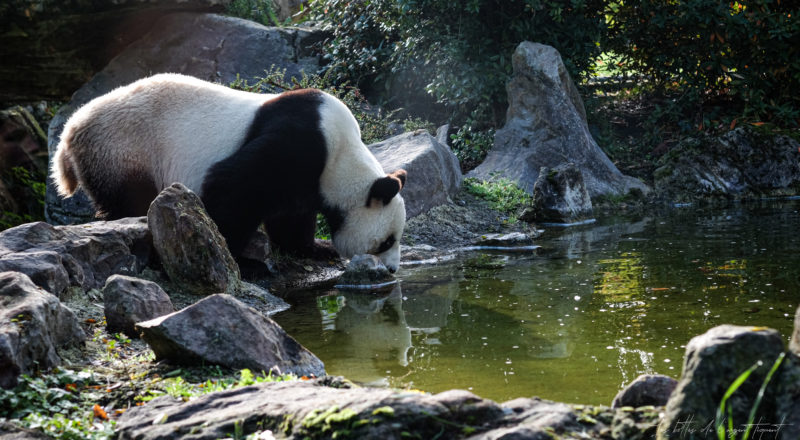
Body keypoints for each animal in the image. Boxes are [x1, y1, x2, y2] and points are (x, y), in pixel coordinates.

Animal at [51, 73, 406, 272]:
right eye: (387, 242)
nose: (392, 270)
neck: (342, 153)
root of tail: (70, 130)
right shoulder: (300, 142)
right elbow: (232, 187)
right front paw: (241, 260)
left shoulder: (308, 177)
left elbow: (291, 216)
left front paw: (315, 249)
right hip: (124, 147)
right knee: (130, 201)